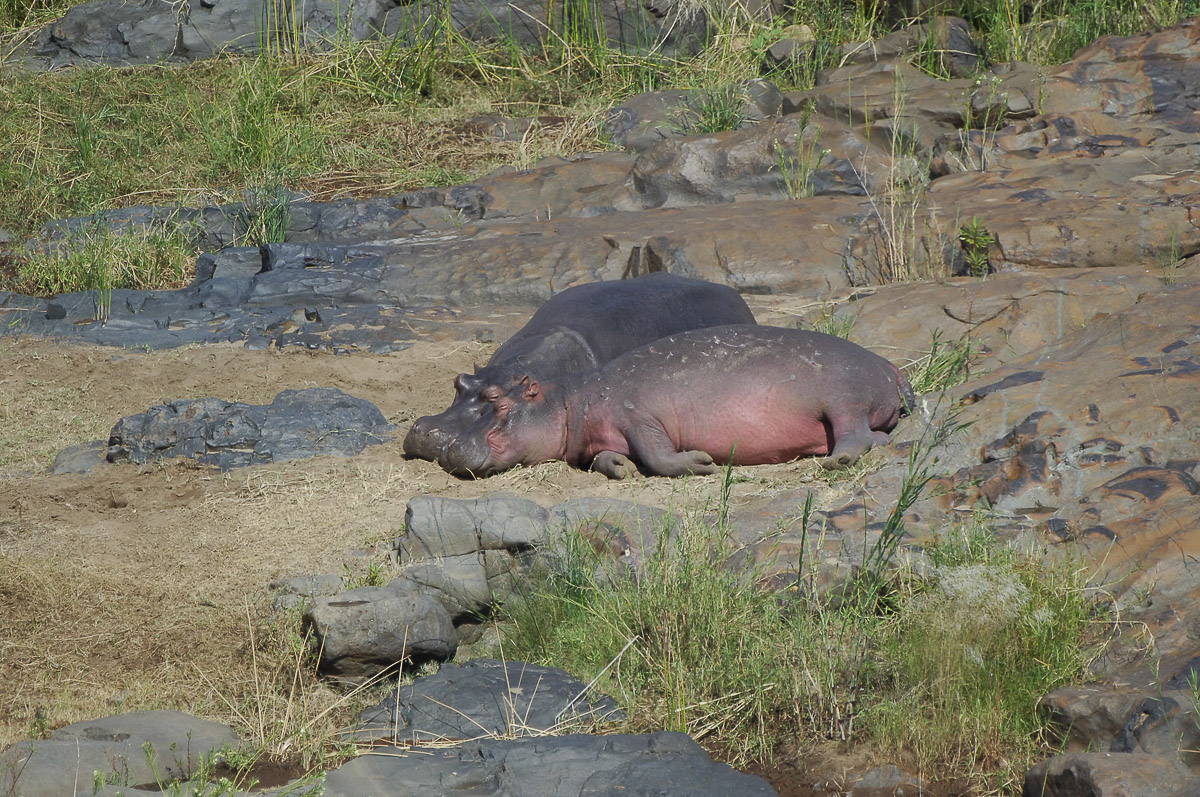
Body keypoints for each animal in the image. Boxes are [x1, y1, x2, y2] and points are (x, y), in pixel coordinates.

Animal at [439, 325, 916, 479]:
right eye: (466, 388)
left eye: (497, 400)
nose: (450, 447)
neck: (569, 401)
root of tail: (889, 365)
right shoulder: (599, 440)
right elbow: (603, 459)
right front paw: (620, 468)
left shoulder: (640, 417)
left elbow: (658, 455)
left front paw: (701, 463)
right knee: (875, 435)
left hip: (842, 399)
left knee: (855, 435)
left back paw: (836, 460)